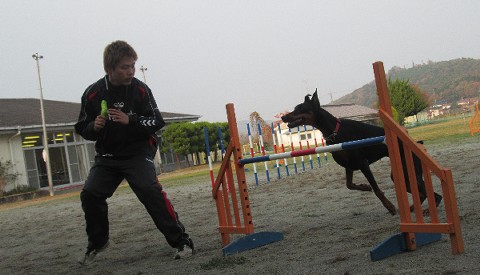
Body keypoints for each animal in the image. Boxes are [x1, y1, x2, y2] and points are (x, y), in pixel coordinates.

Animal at [282, 91, 442, 216]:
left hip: (409, 170)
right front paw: (365, 187)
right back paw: (413, 208)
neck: (334, 130)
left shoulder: (363, 163)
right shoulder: (349, 166)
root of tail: (418, 144)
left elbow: (377, 190)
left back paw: (426, 210)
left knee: (436, 195)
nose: (283, 117)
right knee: (423, 194)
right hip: (401, 175)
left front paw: (390, 206)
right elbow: (349, 185)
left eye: (300, 108)